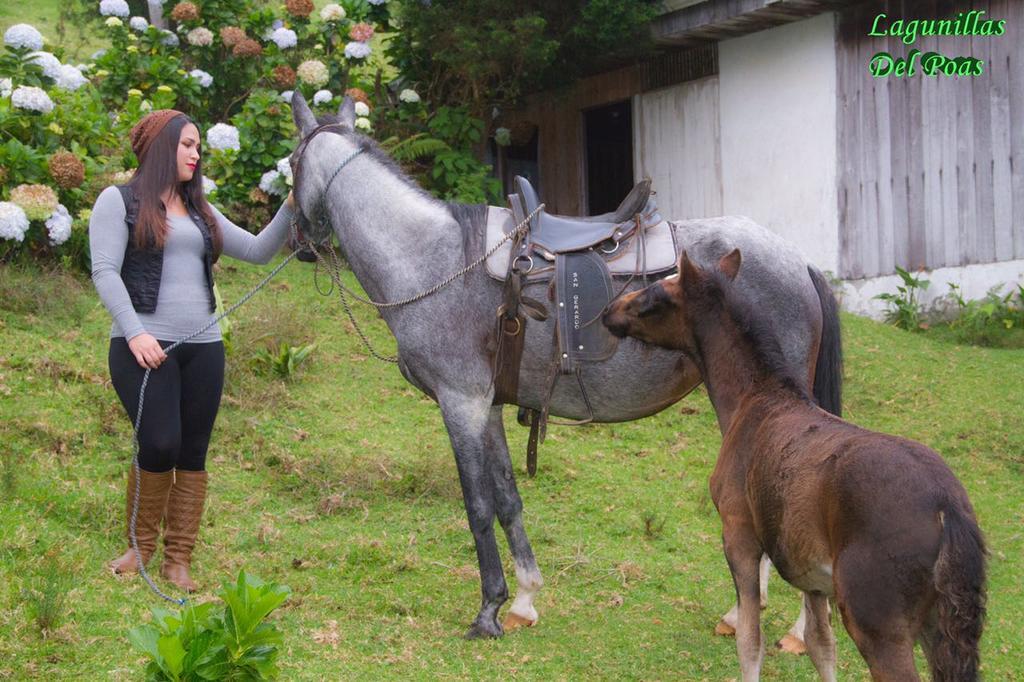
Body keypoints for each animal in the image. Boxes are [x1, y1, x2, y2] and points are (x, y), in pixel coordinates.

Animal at [286, 94, 839, 638]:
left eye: (289, 165)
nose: (295, 242)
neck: (434, 260)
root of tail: (799, 261)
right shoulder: (487, 406)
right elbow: (507, 498)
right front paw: (523, 599)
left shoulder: (460, 403)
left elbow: (477, 505)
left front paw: (487, 611)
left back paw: (793, 629)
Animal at [602, 250, 987, 679]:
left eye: (655, 297)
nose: (608, 312)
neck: (753, 400)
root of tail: (947, 507)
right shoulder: (812, 577)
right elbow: (821, 645)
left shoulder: (738, 534)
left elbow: (750, 639)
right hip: (939, 628)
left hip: (876, 622)